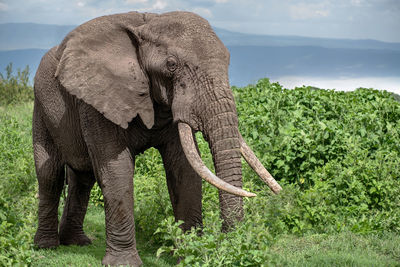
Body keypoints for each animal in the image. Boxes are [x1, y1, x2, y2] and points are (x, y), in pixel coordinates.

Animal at [32, 11, 282, 267]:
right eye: (171, 65)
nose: (232, 245)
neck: (147, 23)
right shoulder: (97, 99)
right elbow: (117, 169)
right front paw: (124, 264)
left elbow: (184, 169)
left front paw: (190, 255)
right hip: (41, 108)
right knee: (50, 174)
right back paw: (47, 246)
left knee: (83, 178)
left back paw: (76, 242)